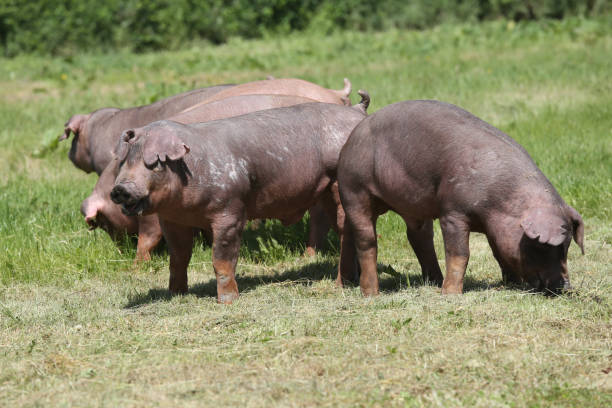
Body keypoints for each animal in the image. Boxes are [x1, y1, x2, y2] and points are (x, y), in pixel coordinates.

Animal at [109, 93, 368, 302]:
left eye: (153, 164)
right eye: (125, 162)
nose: (120, 189)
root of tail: (357, 111)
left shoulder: (230, 210)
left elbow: (221, 259)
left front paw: (227, 301)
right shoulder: (172, 220)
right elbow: (179, 257)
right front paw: (176, 294)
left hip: (340, 184)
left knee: (345, 230)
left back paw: (341, 284)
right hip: (325, 191)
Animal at [338, 99, 584, 296]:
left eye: (566, 248)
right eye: (543, 247)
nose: (565, 287)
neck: (500, 203)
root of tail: (352, 137)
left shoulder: (494, 227)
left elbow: (498, 252)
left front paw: (511, 283)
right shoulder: (452, 212)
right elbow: (459, 253)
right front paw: (451, 295)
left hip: (411, 206)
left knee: (413, 237)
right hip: (354, 189)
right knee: (366, 238)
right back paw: (371, 294)